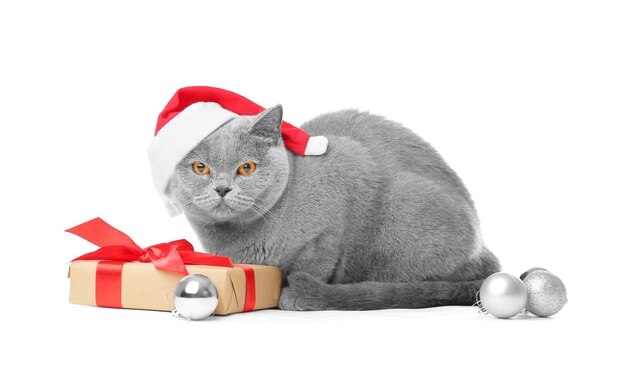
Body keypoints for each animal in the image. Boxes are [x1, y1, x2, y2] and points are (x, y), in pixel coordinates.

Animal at [166, 104, 498, 310]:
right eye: (200, 168)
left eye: (247, 168)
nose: (222, 188)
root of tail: (486, 252)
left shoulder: (344, 175)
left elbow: (316, 261)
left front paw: (293, 295)